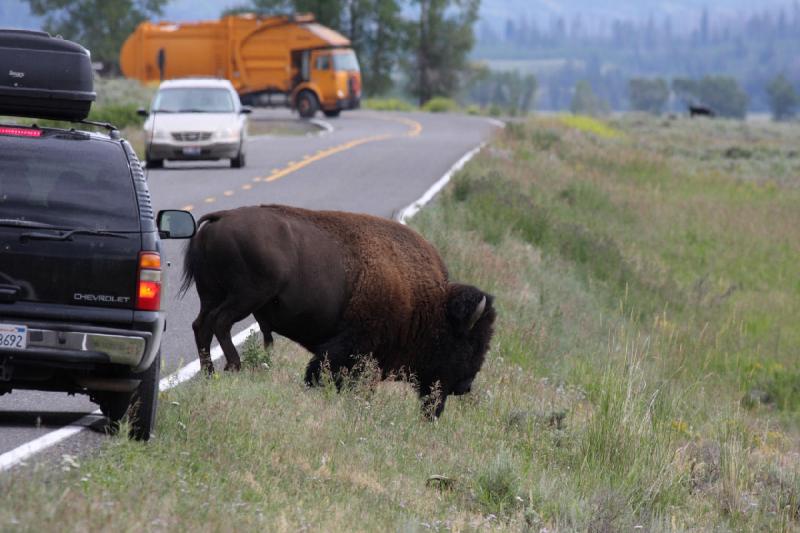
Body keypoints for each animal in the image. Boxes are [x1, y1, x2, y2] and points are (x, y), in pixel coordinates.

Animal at [180, 204, 494, 416]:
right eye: (470, 343)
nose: (465, 385)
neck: (427, 302)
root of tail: (221, 217)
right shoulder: (351, 345)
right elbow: (325, 371)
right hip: (246, 297)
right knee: (219, 323)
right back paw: (234, 366)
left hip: (213, 295)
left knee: (201, 325)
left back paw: (209, 373)